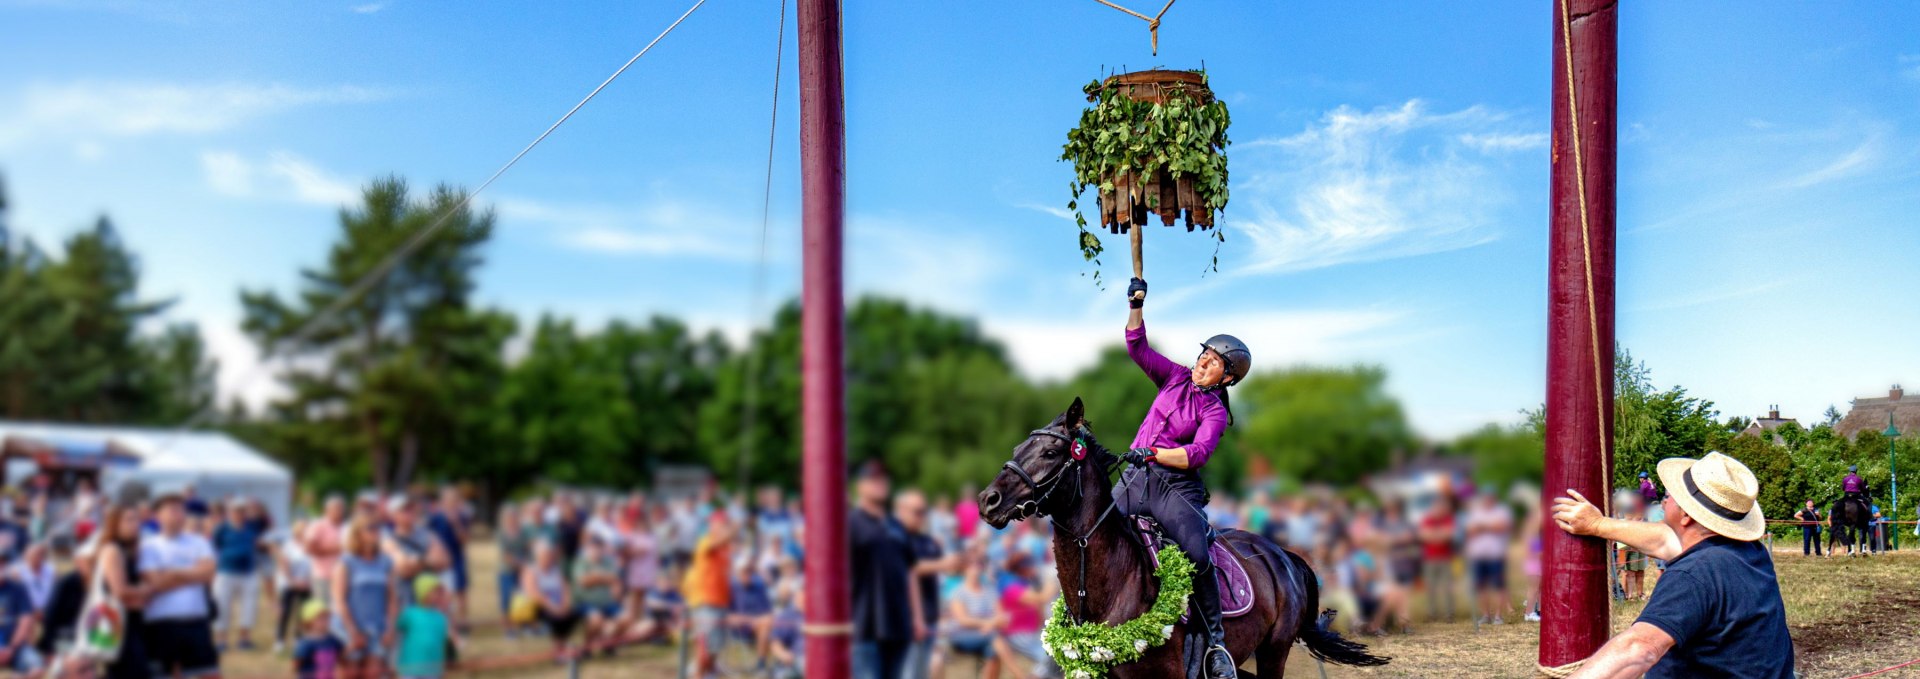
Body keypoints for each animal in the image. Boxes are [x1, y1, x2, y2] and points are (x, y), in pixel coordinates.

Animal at [983, 397, 1390, 679]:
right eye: (1017, 450)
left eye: (1051, 452)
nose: (988, 500)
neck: (1113, 583)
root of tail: (1282, 555)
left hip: (1274, 650)